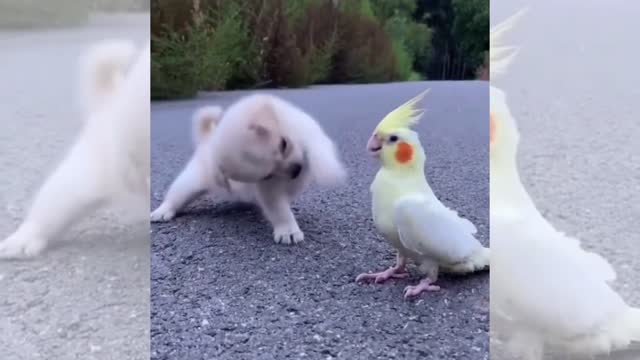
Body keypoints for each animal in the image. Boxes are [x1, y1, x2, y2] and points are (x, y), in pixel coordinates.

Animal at [151, 93, 348, 245]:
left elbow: (318, 149)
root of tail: (207, 140)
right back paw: (162, 212)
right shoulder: (268, 189)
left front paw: (328, 170)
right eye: (267, 175)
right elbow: (279, 209)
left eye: (283, 144)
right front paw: (288, 231)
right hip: (191, 182)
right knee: (176, 197)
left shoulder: (306, 129)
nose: (296, 171)